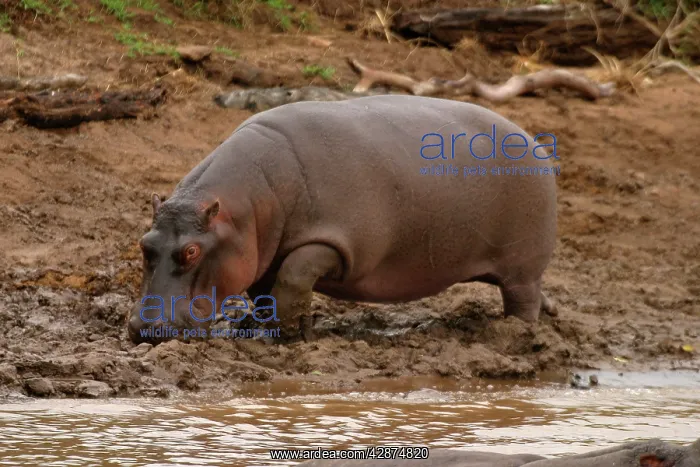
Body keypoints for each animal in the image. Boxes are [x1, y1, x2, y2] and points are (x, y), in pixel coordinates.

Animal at [127, 94, 558, 344]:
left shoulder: (336, 242)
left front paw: (286, 338)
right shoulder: (263, 250)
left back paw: (517, 334)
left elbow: (294, 276)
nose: (144, 329)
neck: (247, 204)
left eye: (192, 251)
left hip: (522, 266)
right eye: (144, 244)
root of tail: (531, 140)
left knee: (522, 301)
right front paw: (268, 329)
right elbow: (268, 290)